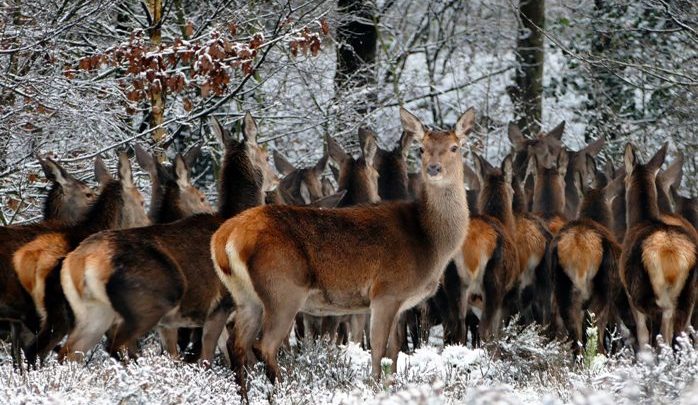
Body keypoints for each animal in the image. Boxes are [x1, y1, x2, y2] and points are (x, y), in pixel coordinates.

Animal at [58, 113, 276, 365]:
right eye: (266, 156)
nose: (277, 179)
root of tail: (83, 259)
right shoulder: (220, 305)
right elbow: (208, 358)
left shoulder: (174, 323)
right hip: (148, 301)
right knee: (117, 345)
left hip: (93, 311)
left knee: (68, 353)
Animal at [211, 106, 474, 393]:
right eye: (422, 148)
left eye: (455, 147)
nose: (433, 168)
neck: (429, 241)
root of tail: (224, 237)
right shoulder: (386, 291)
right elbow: (378, 349)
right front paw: (376, 388)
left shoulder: (400, 302)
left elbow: (394, 352)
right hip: (282, 288)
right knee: (264, 345)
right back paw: (283, 390)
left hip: (246, 296)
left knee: (235, 345)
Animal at [621, 143, 698, 349]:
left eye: (624, 179)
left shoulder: (631, 296)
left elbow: (643, 336)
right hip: (689, 297)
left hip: (659, 298)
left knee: (663, 338)